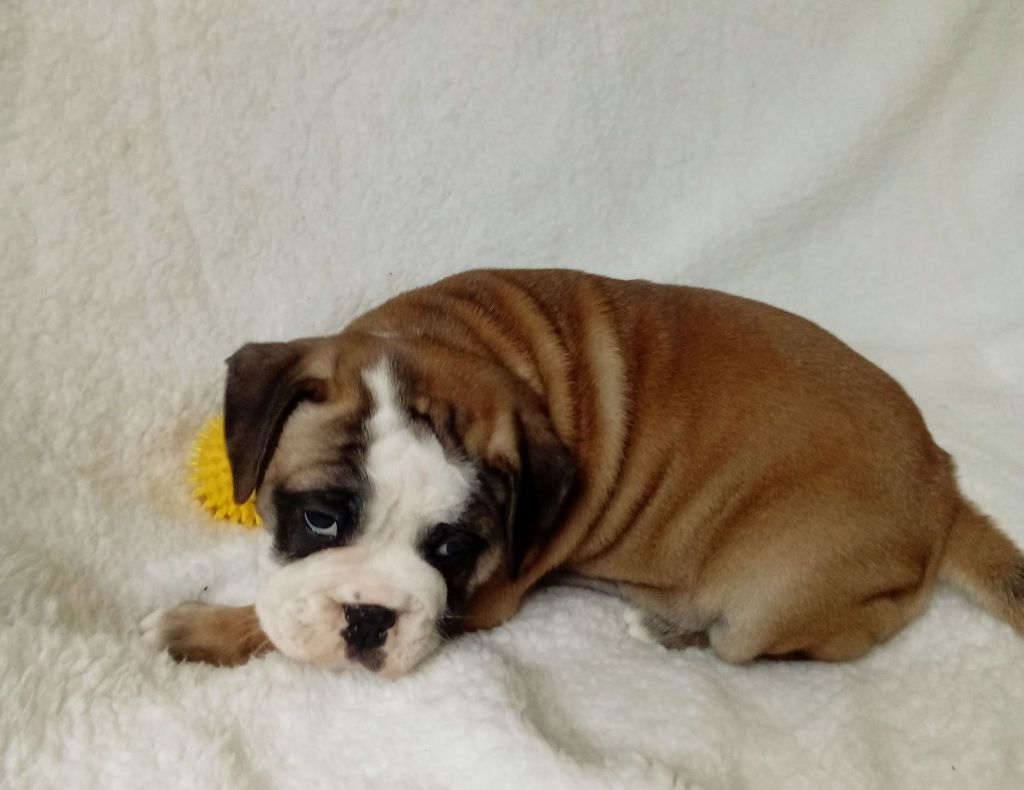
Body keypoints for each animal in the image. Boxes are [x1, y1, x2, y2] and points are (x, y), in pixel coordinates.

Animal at [142, 269, 1024, 676]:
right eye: (320, 518)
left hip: (769, 606)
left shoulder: (484, 600)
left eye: (451, 552)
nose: (369, 619)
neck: (445, 344)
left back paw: (676, 629)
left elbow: (273, 621)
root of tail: (945, 484)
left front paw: (202, 629)